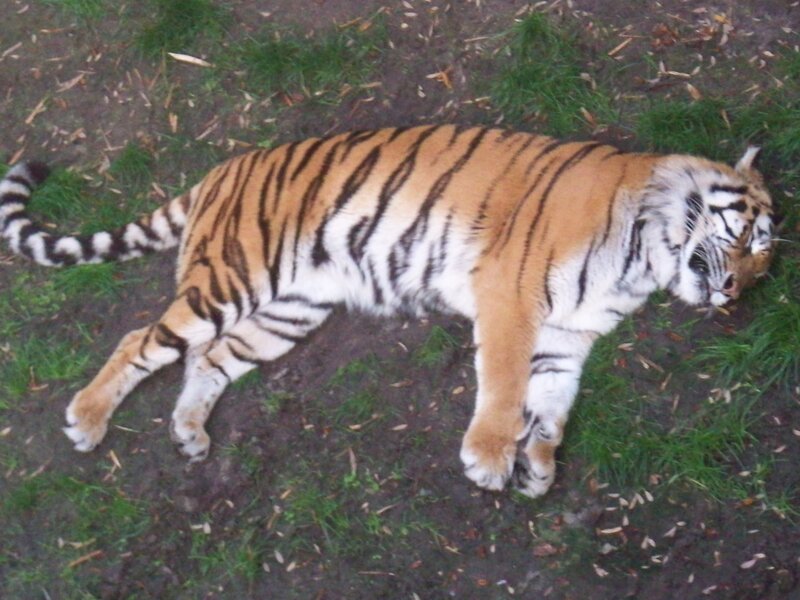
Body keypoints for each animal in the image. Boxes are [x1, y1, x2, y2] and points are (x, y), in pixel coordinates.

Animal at [0, 125, 777, 498]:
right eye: (751, 239)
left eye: (765, 265)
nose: (737, 295)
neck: (645, 261)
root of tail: (220, 170)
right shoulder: (511, 297)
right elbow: (504, 387)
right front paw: (489, 458)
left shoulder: (567, 336)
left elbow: (553, 405)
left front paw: (539, 467)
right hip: (230, 280)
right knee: (141, 338)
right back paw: (87, 419)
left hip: (288, 310)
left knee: (210, 355)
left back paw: (190, 432)